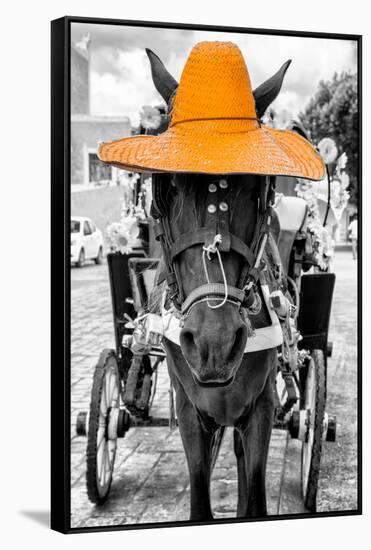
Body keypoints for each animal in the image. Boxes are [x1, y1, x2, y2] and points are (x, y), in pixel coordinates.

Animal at [144, 48, 292, 520]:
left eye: (257, 187)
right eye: (166, 186)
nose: (215, 342)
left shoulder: (261, 406)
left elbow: (255, 493)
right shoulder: (190, 411)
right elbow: (199, 494)